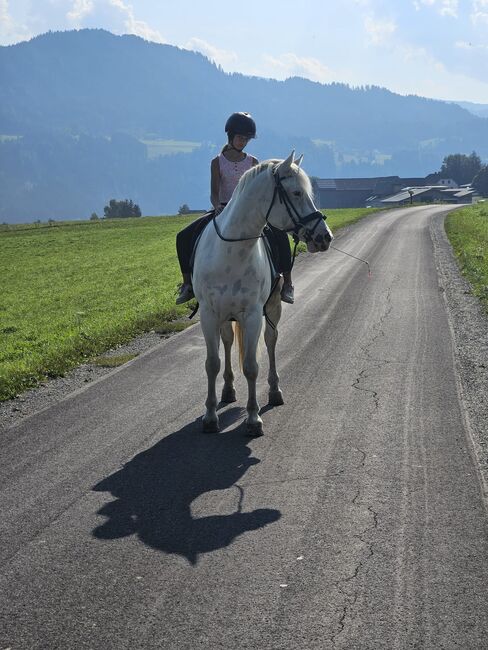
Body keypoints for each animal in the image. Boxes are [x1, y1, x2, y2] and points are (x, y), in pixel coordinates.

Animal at [193, 151, 334, 436]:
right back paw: (228, 389)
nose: (325, 237)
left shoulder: (252, 315)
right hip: (225, 317)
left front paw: (253, 418)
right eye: (296, 193)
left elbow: (251, 366)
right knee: (228, 342)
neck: (231, 253)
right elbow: (212, 363)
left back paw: (274, 390)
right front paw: (210, 416)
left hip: (273, 307)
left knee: (270, 341)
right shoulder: (209, 315)